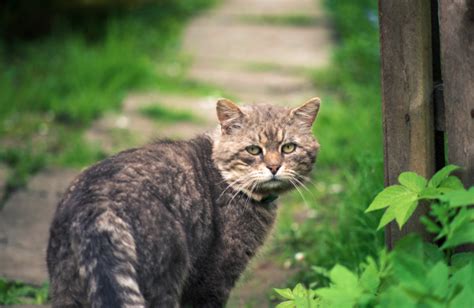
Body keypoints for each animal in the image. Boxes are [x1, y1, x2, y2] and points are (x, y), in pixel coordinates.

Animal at [47, 97, 322, 306]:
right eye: (254, 150)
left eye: (288, 148)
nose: (274, 167)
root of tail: (97, 204)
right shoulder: (213, 279)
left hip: (68, 290)